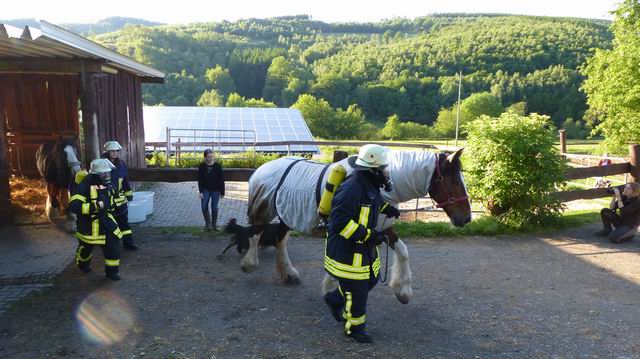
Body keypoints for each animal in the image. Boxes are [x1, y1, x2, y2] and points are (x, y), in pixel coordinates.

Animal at [225, 148, 470, 306]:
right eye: (454, 180)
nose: (466, 218)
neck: (375, 184)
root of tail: (261, 169)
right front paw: (332, 289)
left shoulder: (383, 227)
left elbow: (403, 252)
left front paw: (403, 290)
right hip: (266, 210)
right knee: (255, 234)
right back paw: (249, 264)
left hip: (287, 214)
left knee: (280, 240)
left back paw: (289, 273)